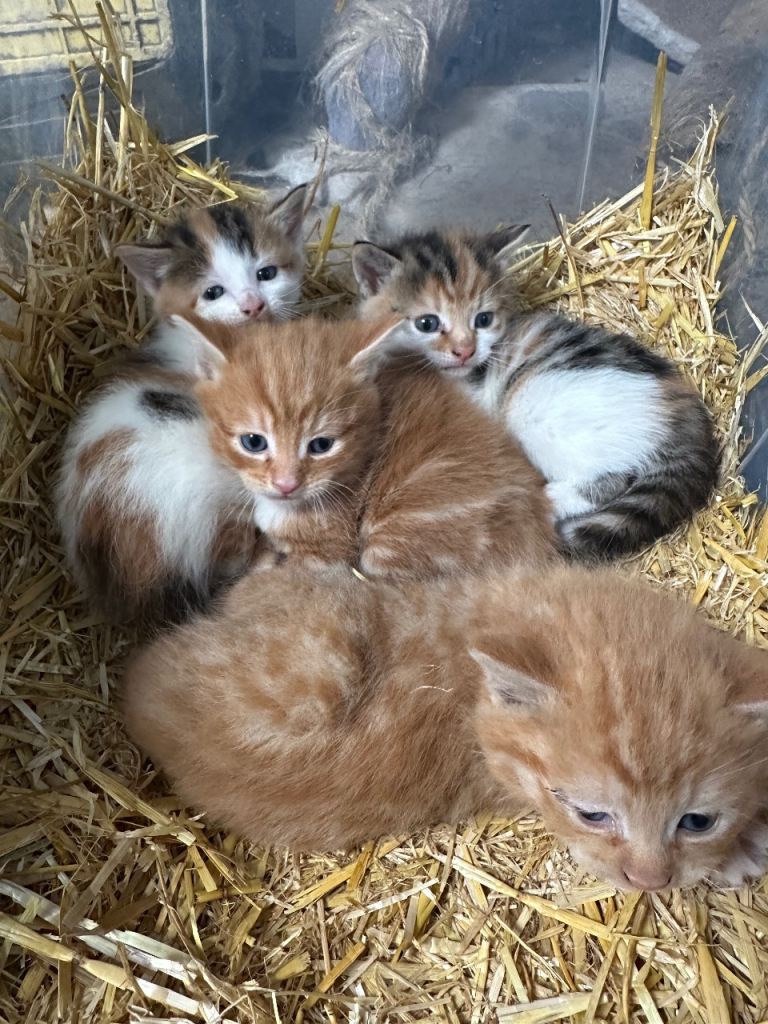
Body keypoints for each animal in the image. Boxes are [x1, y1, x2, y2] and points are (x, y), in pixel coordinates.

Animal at [353, 231, 719, 560]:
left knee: (611, 479)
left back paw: (546, 499)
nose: (465, 351)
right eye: (427, 323)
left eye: (483, 319)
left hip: (535, 407)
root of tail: (688, 424)